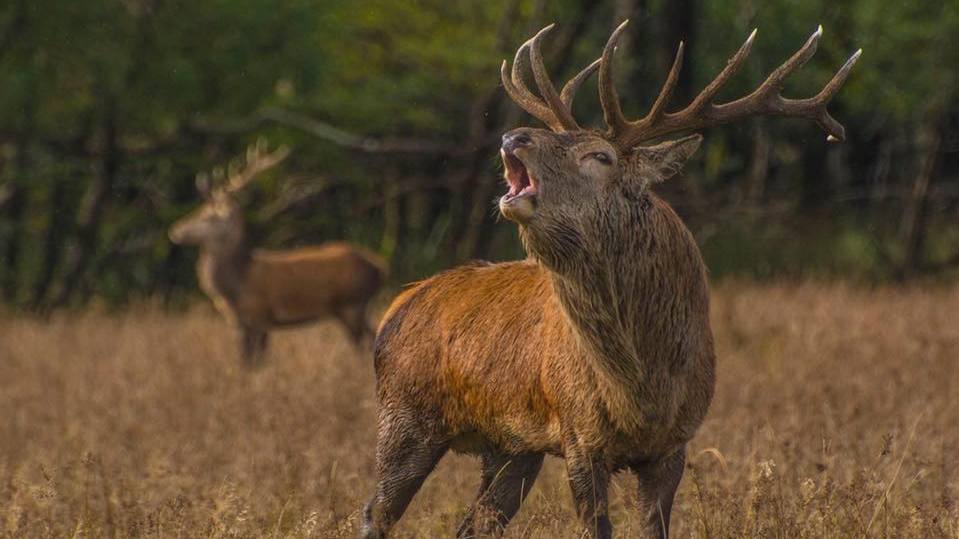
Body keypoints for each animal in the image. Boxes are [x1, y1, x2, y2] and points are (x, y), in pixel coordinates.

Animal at [168, 141, 386, 366]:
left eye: (209, 216)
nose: (175, 230)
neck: (236, 287)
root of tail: (380, 268)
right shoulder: (241, 322)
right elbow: (247, 360)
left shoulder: (260, 315)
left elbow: (255, 361)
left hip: (351, 305)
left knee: (367, 342)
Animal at [360, 21, 859, 539]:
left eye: (599, 155)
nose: (514, 135)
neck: (641, 389)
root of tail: (399, 304)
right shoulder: (580, 435)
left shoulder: (675, 444)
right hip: (404, 415)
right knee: (375, 512)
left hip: (509, 447)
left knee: (473, 524)